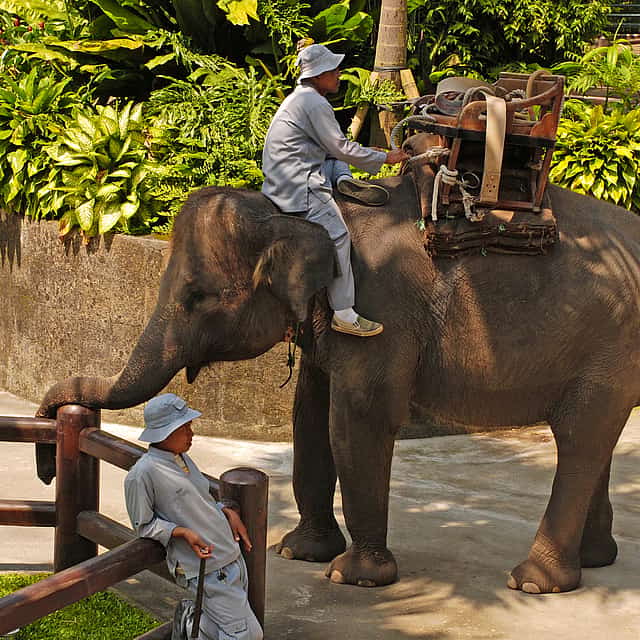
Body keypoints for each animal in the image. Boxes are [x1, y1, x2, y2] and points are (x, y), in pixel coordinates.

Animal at [36, 132, 640, 595]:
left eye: (198, 296)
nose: (47, 467)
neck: (301, 215)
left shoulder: (381, 310)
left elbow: (358, 419)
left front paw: (354, 577)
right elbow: (308, 414)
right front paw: (298, 552)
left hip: (613, 346)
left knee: (580, 436)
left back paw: (534, 582)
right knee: (594, 440)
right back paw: (595, 560)